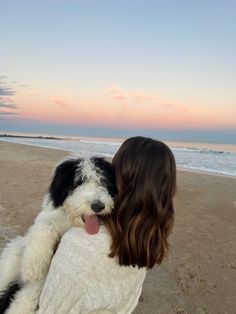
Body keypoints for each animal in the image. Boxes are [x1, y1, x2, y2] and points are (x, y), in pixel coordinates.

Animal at [0, 157, 116, 314]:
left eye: (103, 181)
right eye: (78, 182)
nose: (98, 206)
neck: (72, 222)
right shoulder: (47, 218)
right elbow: (43, 229)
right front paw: (33, 267)